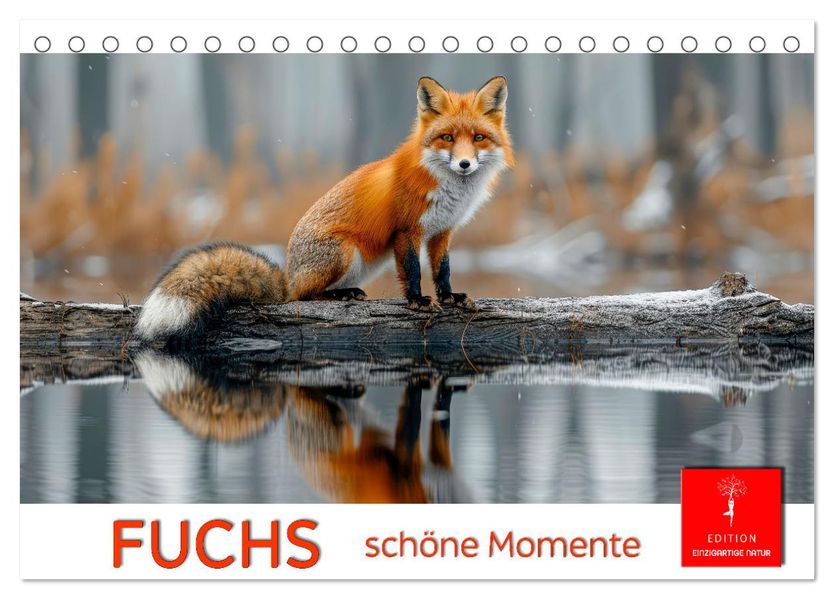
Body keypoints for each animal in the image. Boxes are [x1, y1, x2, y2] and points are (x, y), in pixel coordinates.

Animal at [135, 76, 513, 341]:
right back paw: (336, 295)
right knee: (304, 298)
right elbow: (412, 272)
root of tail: (287, 277)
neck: (449, 189)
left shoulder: (442, 231)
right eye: (447, 138)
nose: (464, 164)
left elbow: (442, 270)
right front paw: (418, 303)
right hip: (343, 251)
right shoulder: (407, 230)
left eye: (478, 138)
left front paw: (449, 298)